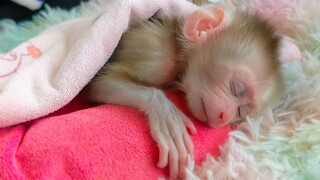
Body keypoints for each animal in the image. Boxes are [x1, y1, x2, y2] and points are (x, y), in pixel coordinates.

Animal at [85, 0, 284, 178]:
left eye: (242, 110)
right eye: (237, 88)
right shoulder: (157, 56)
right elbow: (99, 84)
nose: (224, 117)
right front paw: (167, 116)